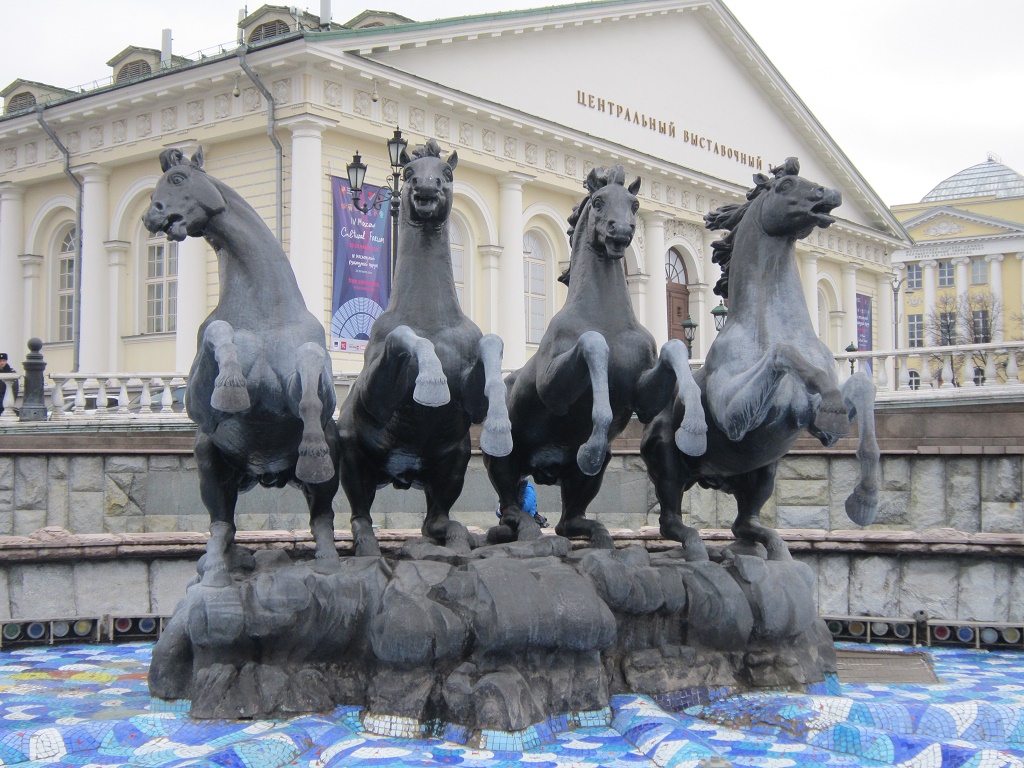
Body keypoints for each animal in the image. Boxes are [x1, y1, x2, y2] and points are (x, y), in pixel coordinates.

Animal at [142, 147, 339, 585]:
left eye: (177, 179)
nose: (151, 216)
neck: (264, 309)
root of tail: (264, 474)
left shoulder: (316, 384)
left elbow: (311, 375)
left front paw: (314, 448)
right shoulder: (198, 404)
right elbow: (219, 334)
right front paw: (231, 388)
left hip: (324, 473)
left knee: (322, 519)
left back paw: (329, 562)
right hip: (211, 464)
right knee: (223, 525)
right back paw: (217, 571)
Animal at [335, 140, 512, 561]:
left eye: (446, 174)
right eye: (412, 172)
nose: (427, 190)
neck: (432, 317)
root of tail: (402, 475)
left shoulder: (471, 399)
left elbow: (492, 344)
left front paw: (500, 426)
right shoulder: (375, 395)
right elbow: (405, 338)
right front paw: (431, 383)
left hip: (453, 461)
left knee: (435, 521)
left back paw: (463, 537)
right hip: (353, 453)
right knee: (360, 517)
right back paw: (370, 550)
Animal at [483, 163, 708, 548]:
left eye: (634, 205)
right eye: (600, 201)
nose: (622, 232)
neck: (607, 315)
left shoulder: (644, 397)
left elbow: (675, 348)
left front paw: (694, 425)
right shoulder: (552, 389)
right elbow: (593, 344)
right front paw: (593, 441)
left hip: (582, 478)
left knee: (567, 522)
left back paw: (599, 535)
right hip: (502, 454)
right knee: (510, 510)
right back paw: (528, 528)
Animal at [643, 157, 876, 561]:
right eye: (784, 185)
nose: (828, 193)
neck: (766, 324)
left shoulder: (810, 425)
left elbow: (861, 388)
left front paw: (864, 499)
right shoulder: (733, 417)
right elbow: (785, 353)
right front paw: (830, 400)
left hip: (765, 470)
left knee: (743, 524)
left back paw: (772, 551)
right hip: (668, 461)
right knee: (671, 523)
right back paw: (701, 550)